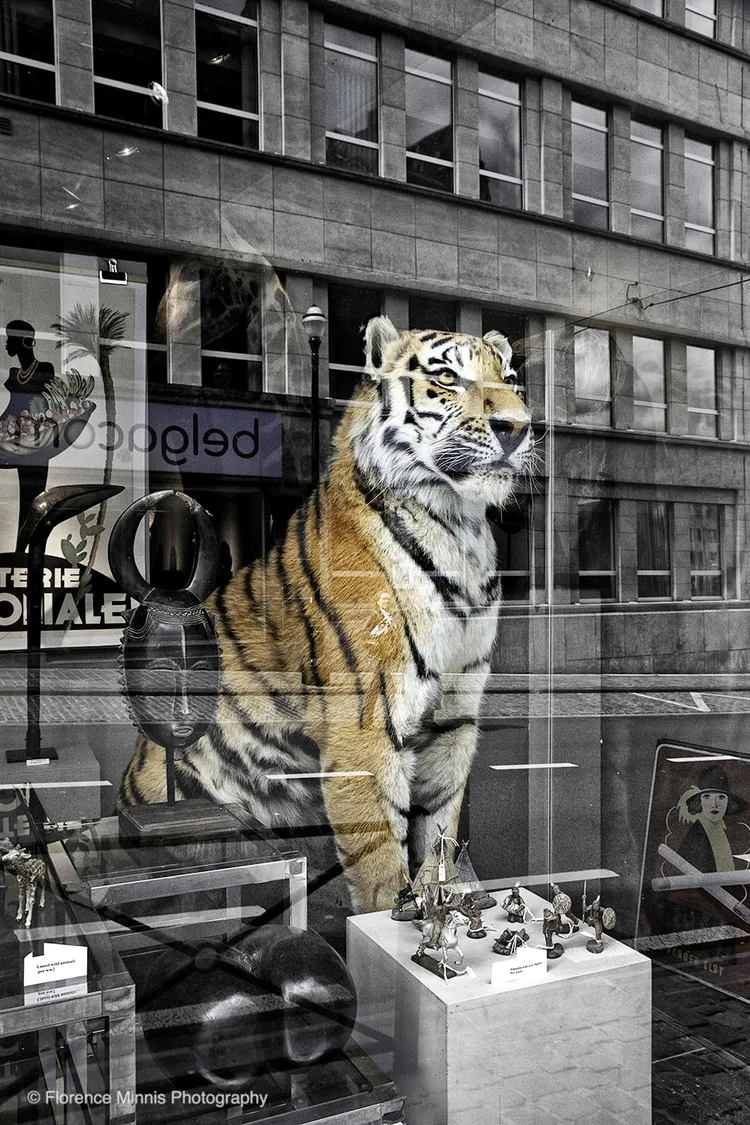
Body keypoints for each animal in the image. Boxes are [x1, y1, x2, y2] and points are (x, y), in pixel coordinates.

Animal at [119, 315, 534, 913]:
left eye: (511, 379)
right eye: (447, 377)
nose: (518, 428)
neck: (461, 529)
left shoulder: (456, 714)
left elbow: (440, 829)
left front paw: (446, 896)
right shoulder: (364, 723)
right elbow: (381, 859)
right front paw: (391, 919)